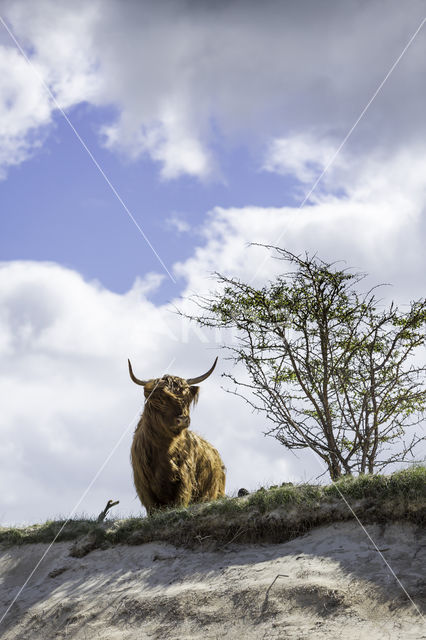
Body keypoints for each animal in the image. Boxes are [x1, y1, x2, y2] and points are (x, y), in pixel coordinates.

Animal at [127, 356, 225, 516]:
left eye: (187, 398)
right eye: (161, 399)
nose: (183, 419)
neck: (163, 449)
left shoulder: (184, 482)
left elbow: (180, 503)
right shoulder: (144, 487)